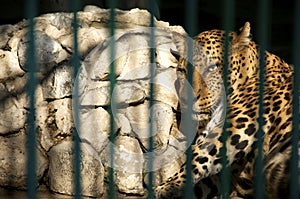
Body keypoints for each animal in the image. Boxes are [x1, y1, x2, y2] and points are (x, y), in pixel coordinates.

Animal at [155, 21, 296, 198]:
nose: (187, 99)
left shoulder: (239, 125)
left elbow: (197, 157)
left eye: (211, 68)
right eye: (182, 71)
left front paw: (165, 188)